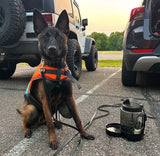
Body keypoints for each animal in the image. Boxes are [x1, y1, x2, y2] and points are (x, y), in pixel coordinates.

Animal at [16, 8, 94, 150]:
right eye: (45, 37)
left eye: (58, 36)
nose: (51, 49)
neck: (56, 68)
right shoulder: (45, 100)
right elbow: (50, 125)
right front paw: (53, 140)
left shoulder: (69, 98)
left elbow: (77, 118)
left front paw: (84, 133)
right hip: (31, 109)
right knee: (26, 122)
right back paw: (27, 130)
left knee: (50, 119)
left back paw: (56, 123)